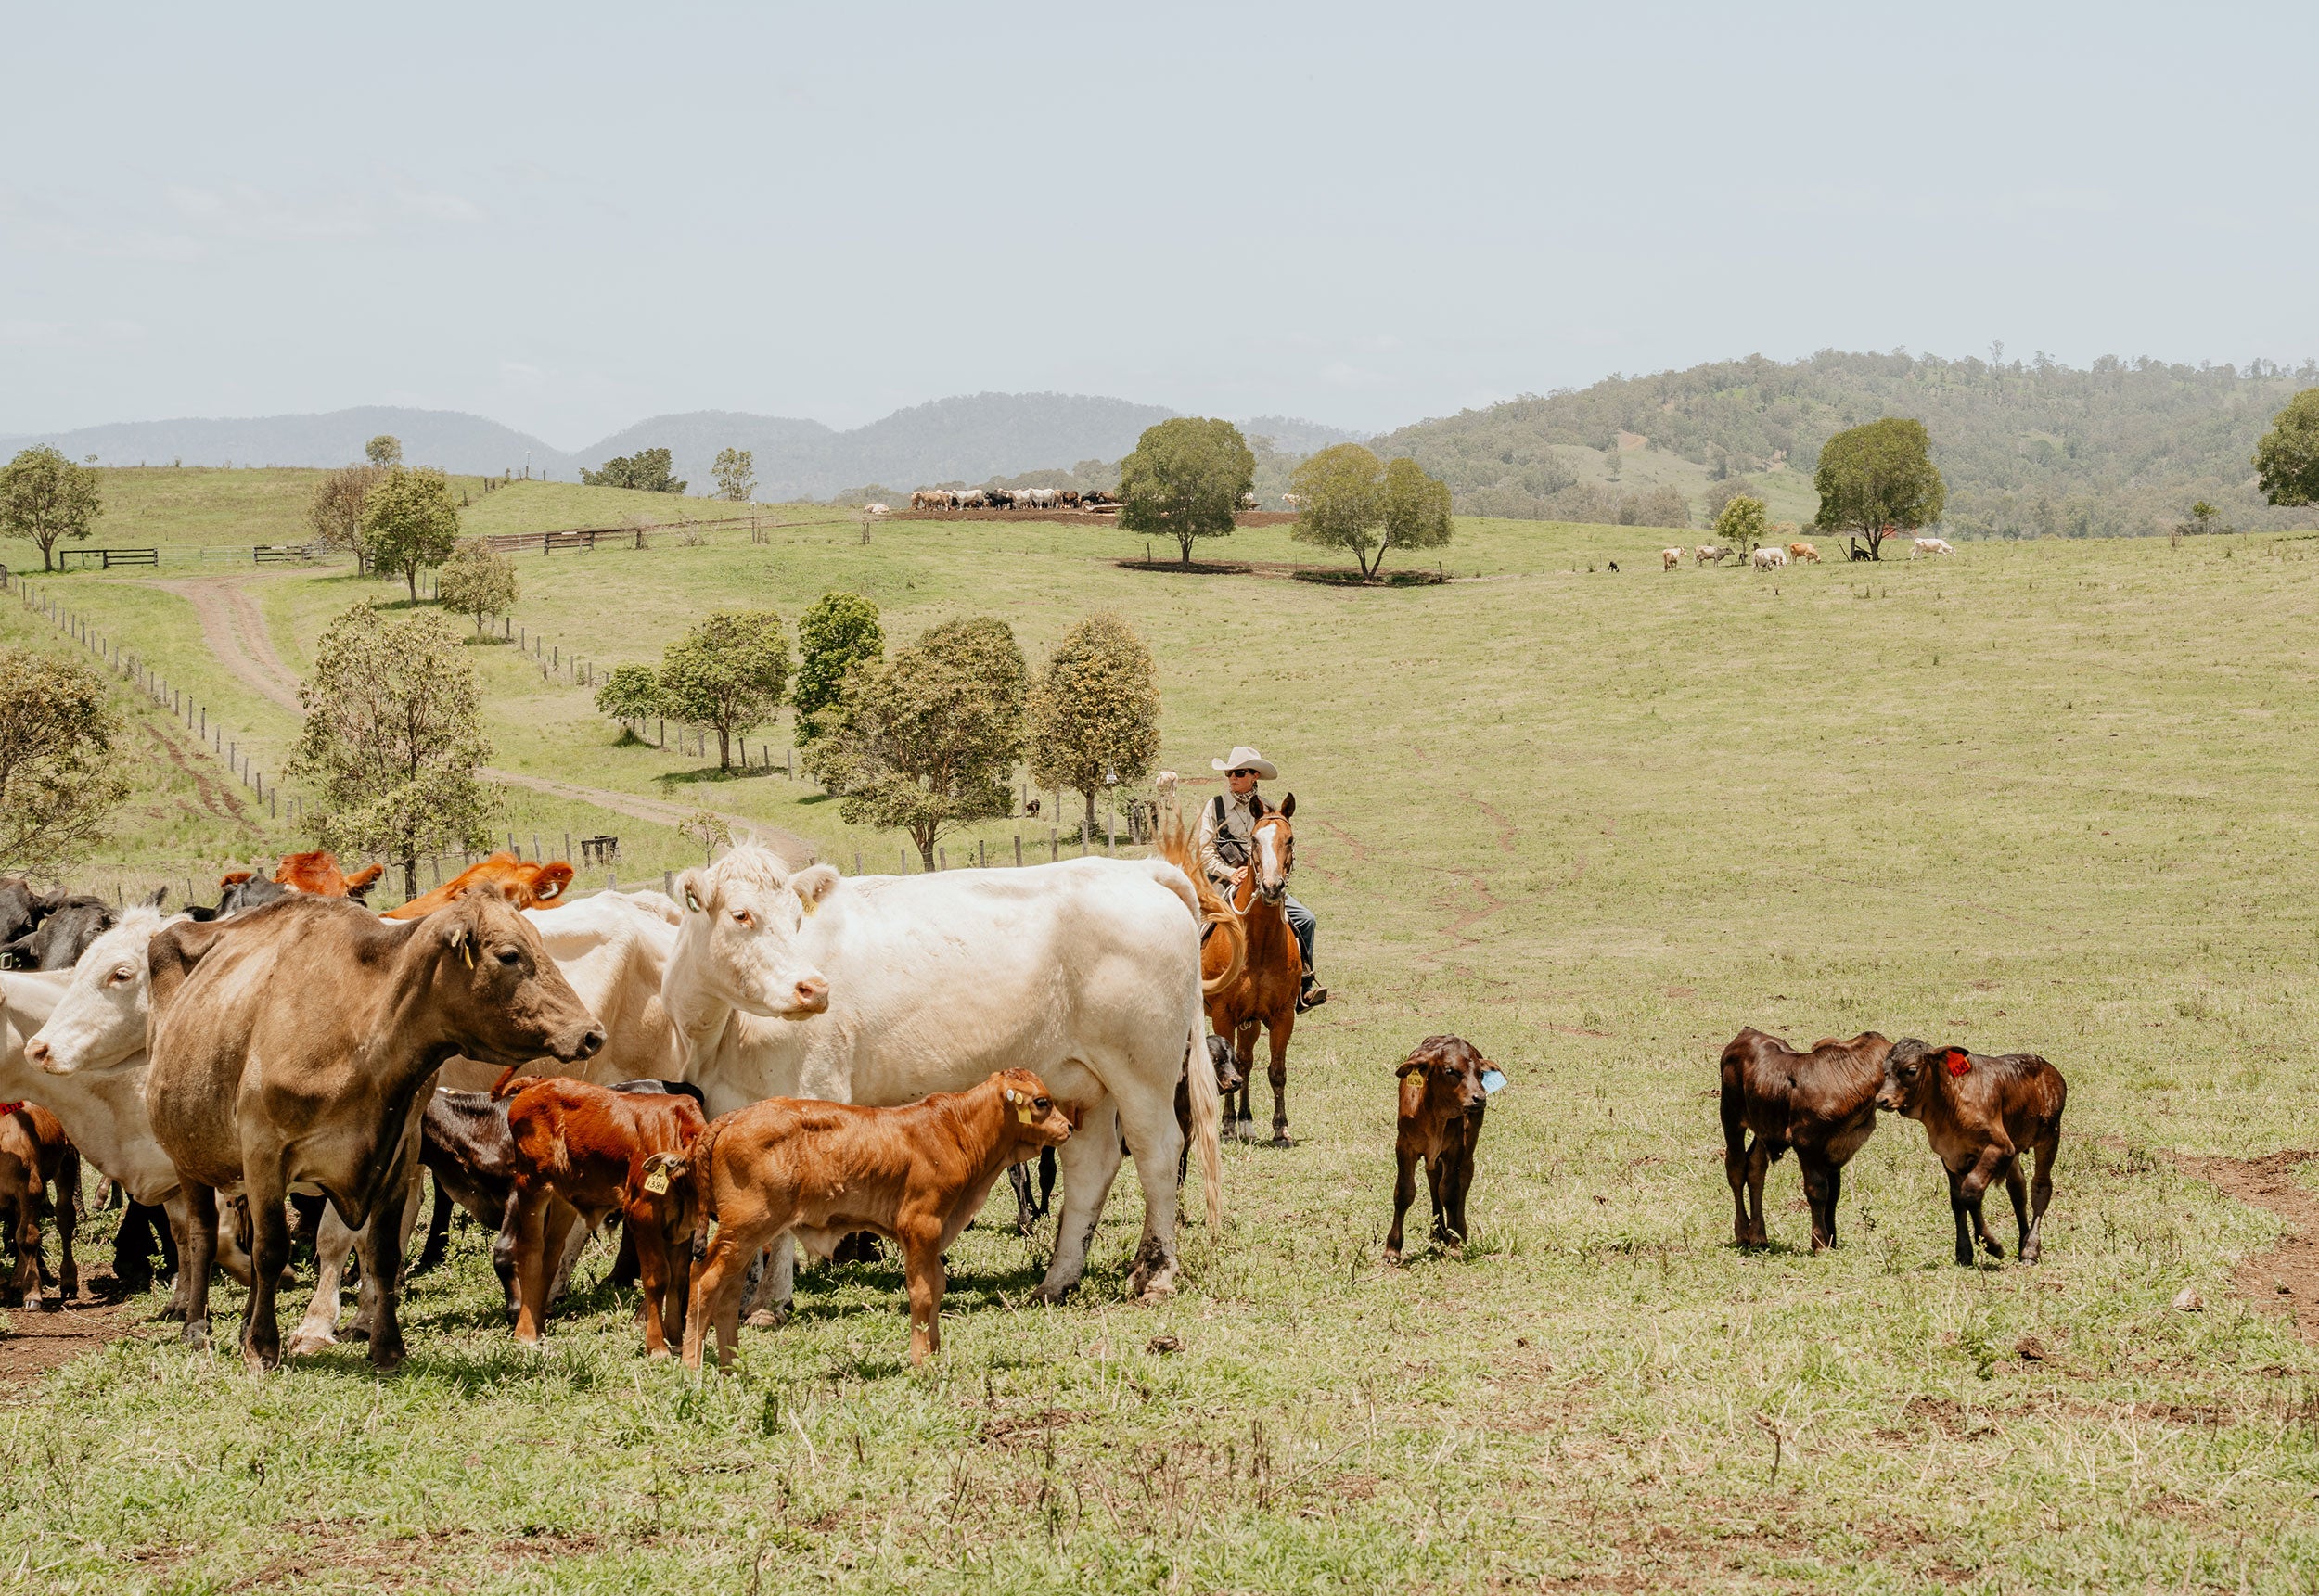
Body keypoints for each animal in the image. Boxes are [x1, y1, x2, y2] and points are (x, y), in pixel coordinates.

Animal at [1204, 795, 1303, 1145]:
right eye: (1254, 841)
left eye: (1290, 839)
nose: (1272, 887)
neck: (1257, 943)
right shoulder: (1223, 1014)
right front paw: (1227, 1124)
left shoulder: (1282, 1015)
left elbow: (1276, 1071)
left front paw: (1281, 1128)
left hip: (1252, 1021)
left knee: (1245, 1062)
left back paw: (1247, 1121)